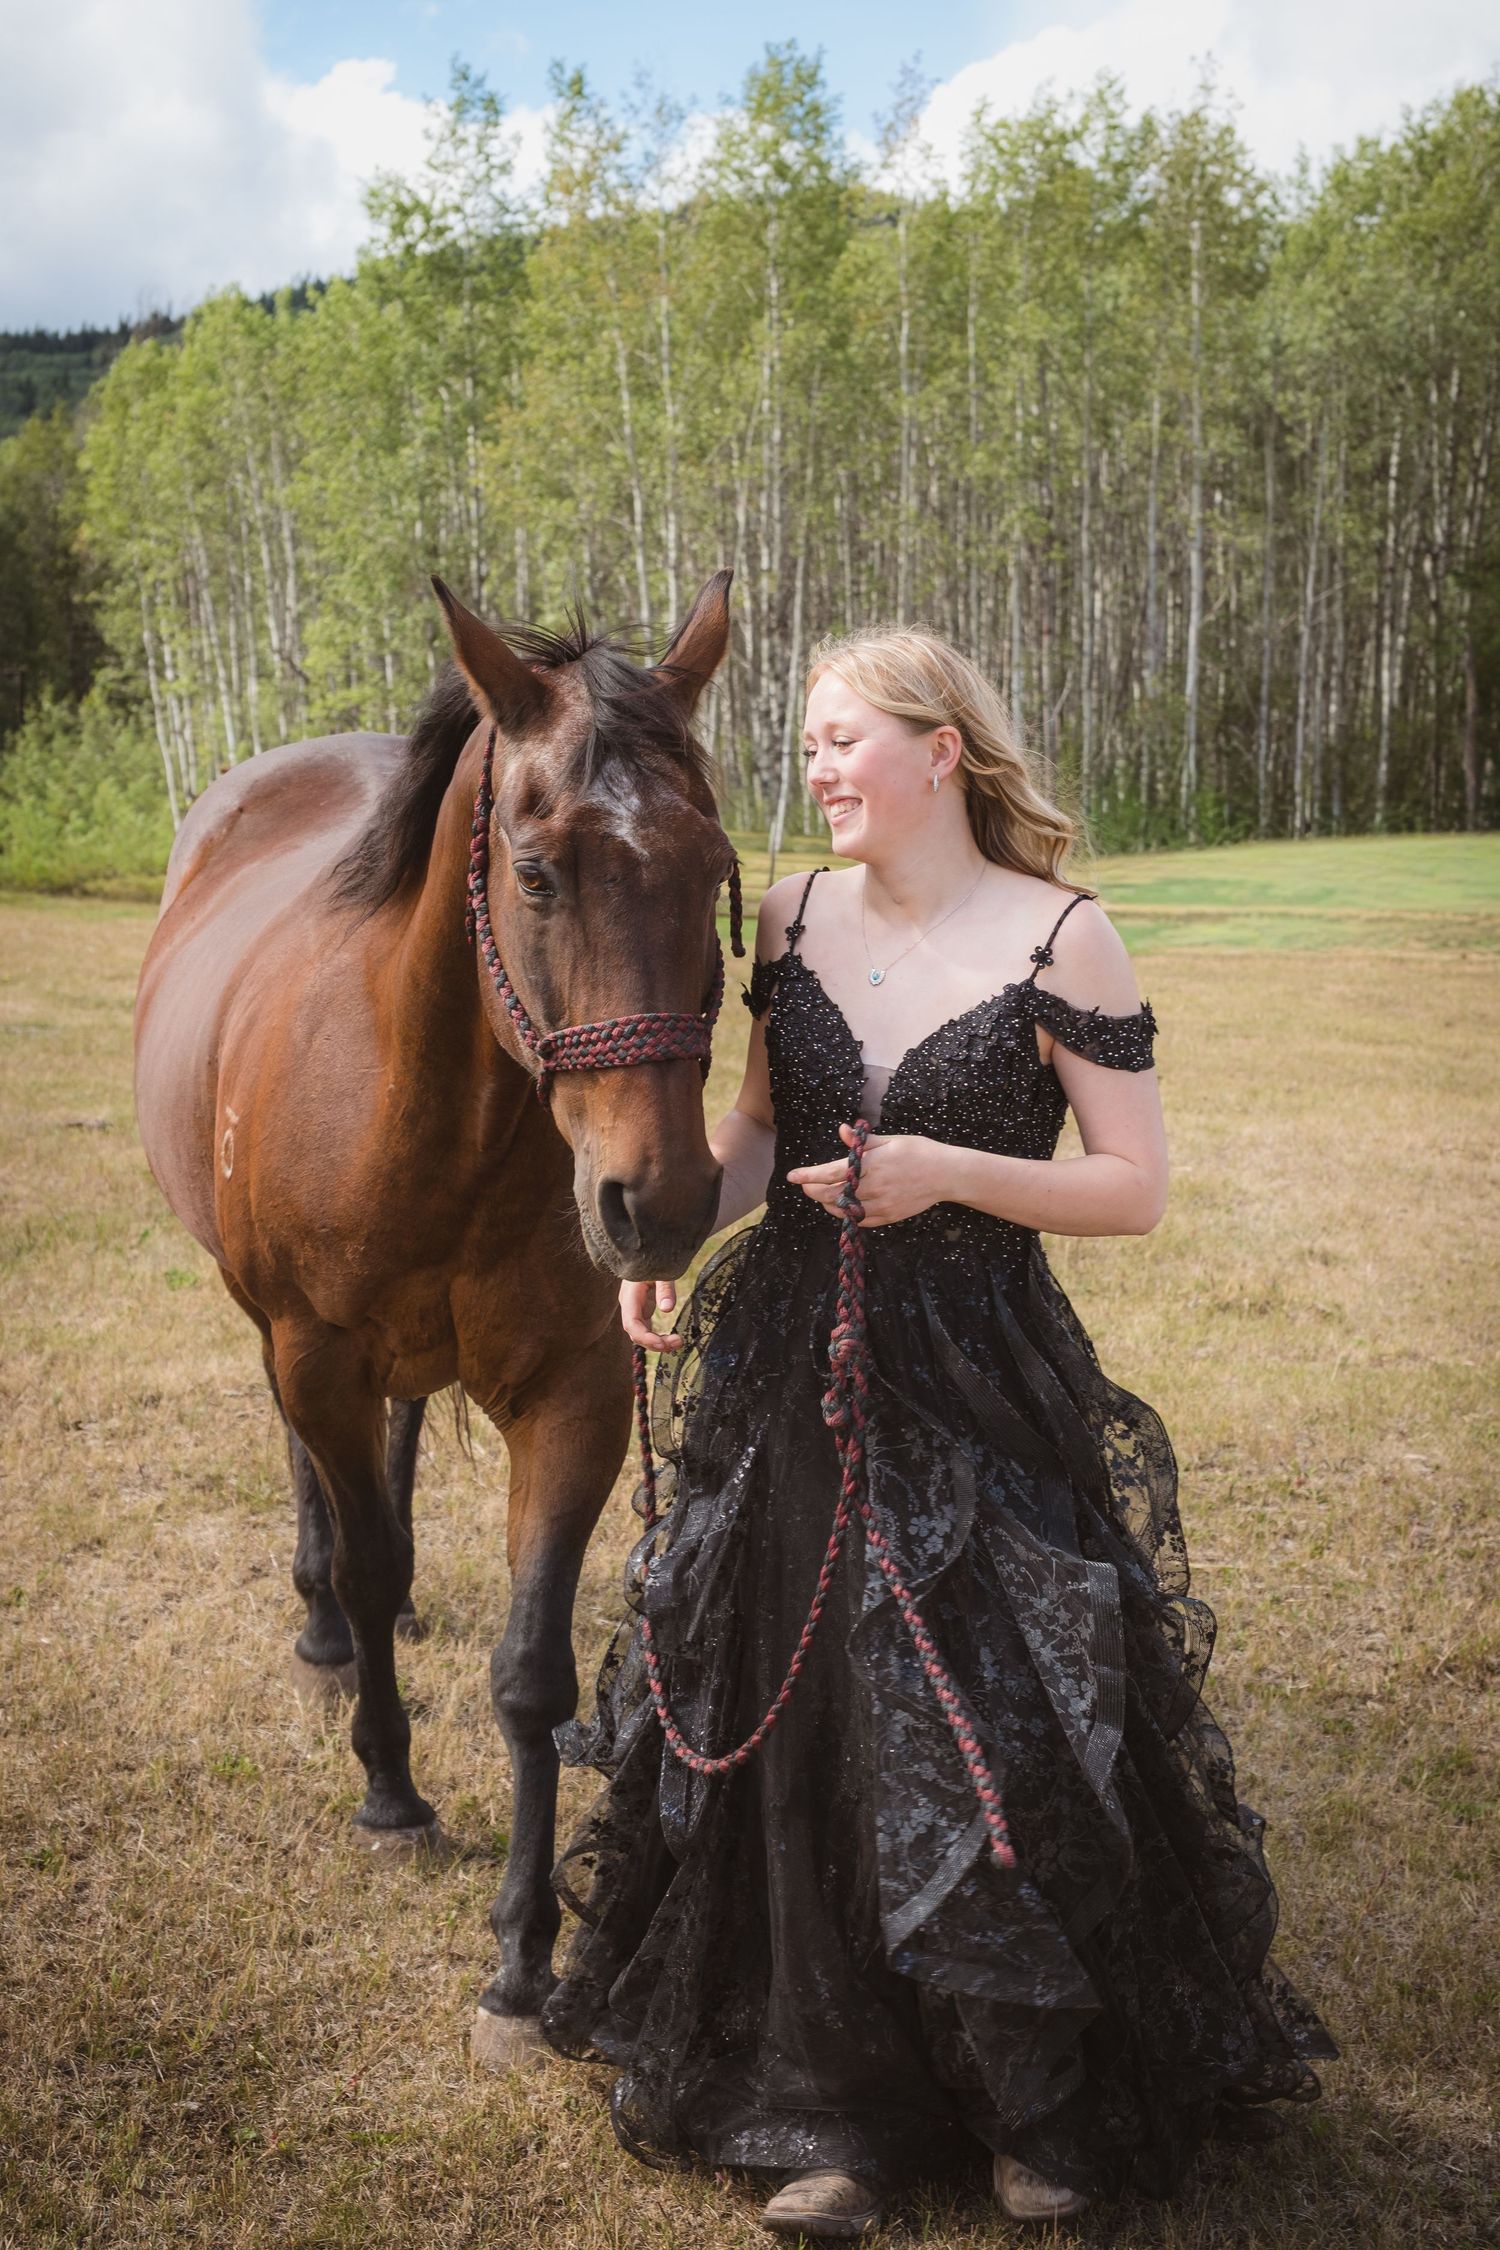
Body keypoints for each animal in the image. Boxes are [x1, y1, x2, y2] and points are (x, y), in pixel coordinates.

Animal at [133, 569, 740, 2064]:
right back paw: (328, 1637)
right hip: (281, 1339)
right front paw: (391, 1791)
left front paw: (522, 1961)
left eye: (714, 872)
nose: (660, 1198)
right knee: (321, 1491)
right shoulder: (316, 1355)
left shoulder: (574, 1398)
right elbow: (359, 1554)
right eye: (536, 873)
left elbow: (531, 1676)